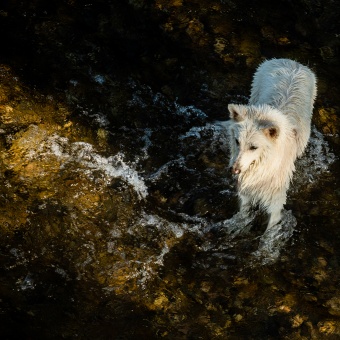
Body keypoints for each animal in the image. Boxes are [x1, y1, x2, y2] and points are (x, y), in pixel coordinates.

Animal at [226, 58, 316, 230]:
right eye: (237, 141)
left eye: (253, 147)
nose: (234, 170)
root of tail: (293, 62)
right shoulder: (245, 194)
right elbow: (243, 215)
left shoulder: (275, 201)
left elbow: (270, 231)